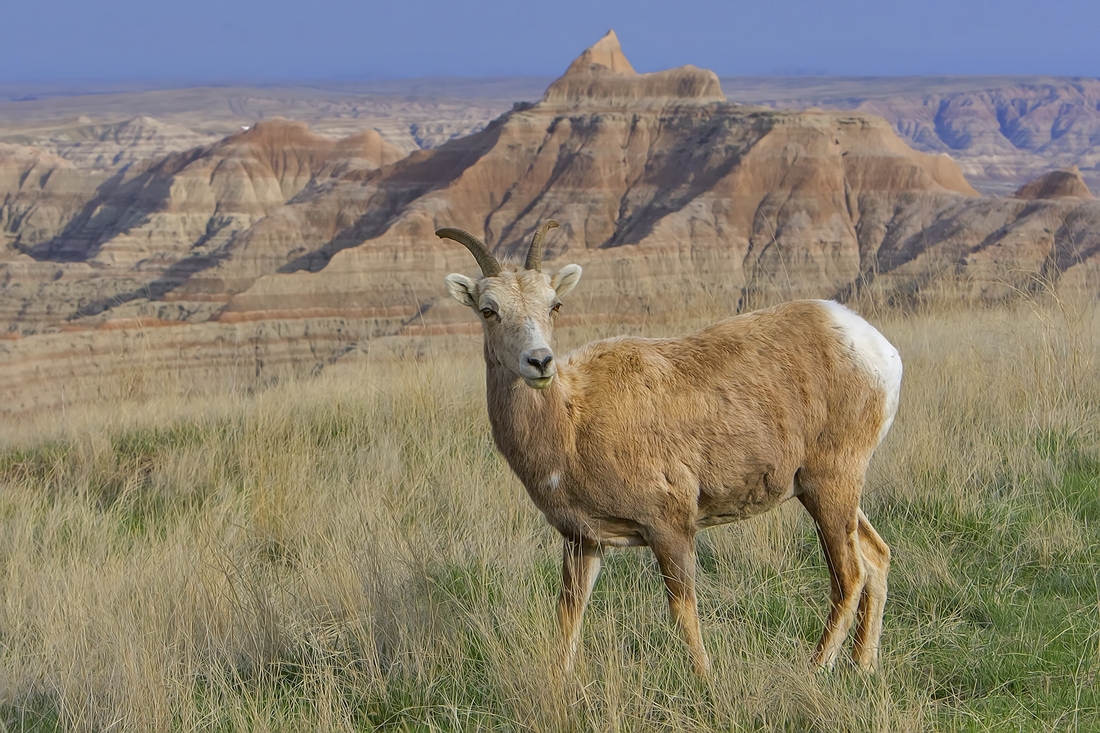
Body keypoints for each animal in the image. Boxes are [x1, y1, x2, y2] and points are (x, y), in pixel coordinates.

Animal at [437, 217, 902, 673]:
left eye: (554, 305)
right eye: (488, 310)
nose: (539, 361)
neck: (573, 421)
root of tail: (875, 349)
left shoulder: (670, 528)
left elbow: (683, 612)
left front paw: (706, 681)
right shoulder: (583, 541)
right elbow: (569, 619)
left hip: (830, 485)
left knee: (850, 574)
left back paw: (816, 667)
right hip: (825, 491)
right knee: (876, 557)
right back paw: (862, 666)